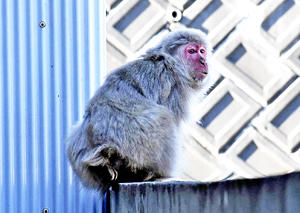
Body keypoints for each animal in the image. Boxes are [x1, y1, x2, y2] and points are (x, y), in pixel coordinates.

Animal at [67, 28, 214, 193]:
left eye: (202, 51)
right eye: (192, 51)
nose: (203, 61)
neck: (171, 62)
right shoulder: (172, 84)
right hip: (136, 144)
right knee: (163, 117)